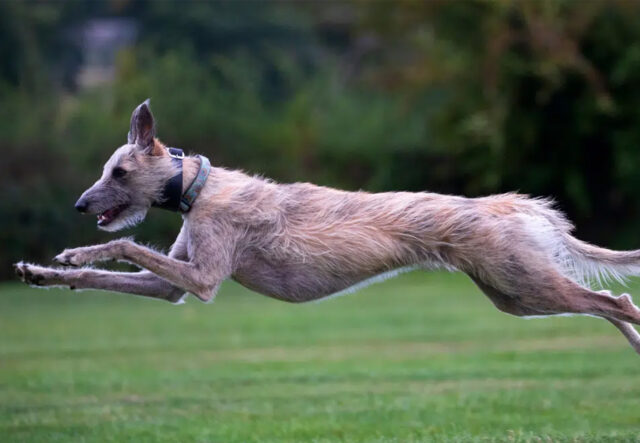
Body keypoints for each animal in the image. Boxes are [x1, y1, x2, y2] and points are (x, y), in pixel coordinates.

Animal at [12, 99, 640, 354]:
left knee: (618, 303)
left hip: (524, 281)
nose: (79, 204)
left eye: (118, 170)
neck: (196, 186)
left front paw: (71, 254)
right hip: (515, 294)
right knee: (610, 305)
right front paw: (43, 271)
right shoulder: (175, 284)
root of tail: (514, 206)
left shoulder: (205, 278)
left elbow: (121, 241)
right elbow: (111, 276)